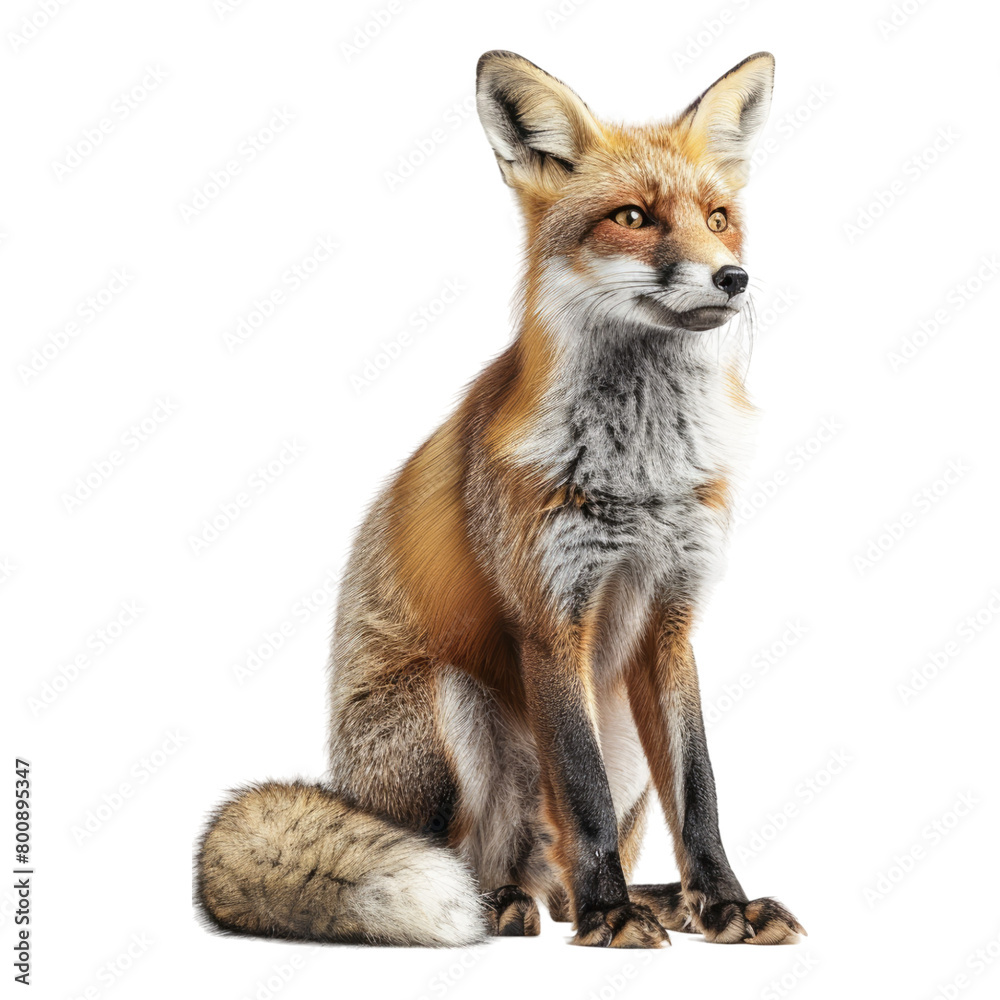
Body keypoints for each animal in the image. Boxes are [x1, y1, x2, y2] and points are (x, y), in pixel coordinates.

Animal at [196, 49, 806, 949]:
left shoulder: (672, 620)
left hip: (618, 725)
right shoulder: (549, 616)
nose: (734, 278)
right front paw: (613, 915)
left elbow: (701, 794)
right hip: (452, 708)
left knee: (556, 880)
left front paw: (725, 902)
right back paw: (512, 902)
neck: (643, 473)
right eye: (633, 216)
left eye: (719, 217)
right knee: (475, 858)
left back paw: (650, 899)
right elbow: (582, 795)